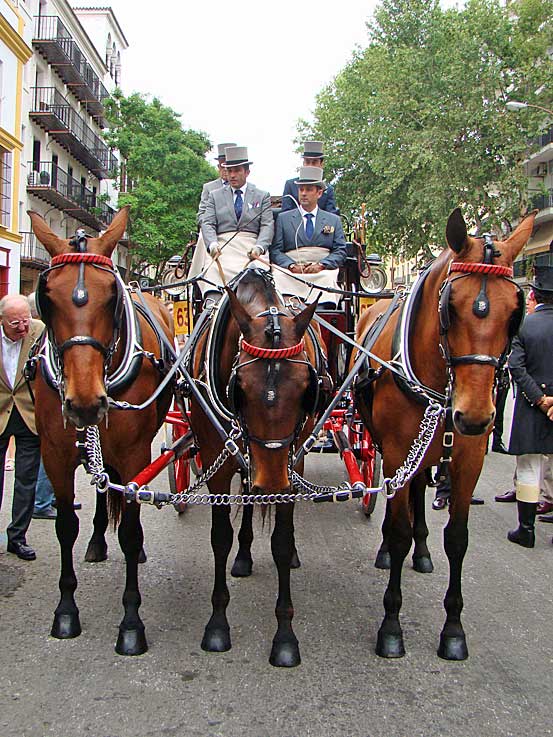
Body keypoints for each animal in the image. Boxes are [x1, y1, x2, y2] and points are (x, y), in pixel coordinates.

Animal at [27, 207, 174, 656]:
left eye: (111, 295)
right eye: (47, 296)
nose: (85, 402)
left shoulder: (134, 454)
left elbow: (130, 529)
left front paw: (131, 623)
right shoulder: (54, 455)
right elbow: (64, 527)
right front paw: (65, 612)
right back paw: (95, 541)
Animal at [188, 269, 326, 667]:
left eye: (306, 389)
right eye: (241, 388)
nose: (272, 484)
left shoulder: (290, 463)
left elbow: (281, 540)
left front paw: (285, 636)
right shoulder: (216, 464)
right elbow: (220, 539)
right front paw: (217, 624)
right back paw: (244, 554)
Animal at [354, 207, 534, 660]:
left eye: (515, 311)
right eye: (450, 306)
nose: (473, 416)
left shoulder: (468, 460)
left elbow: (457, 538)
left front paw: (453, 630)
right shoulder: (396, 452)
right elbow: (398, 529)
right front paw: (391, 626)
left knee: (420, 490)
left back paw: (422, 553)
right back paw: (389, 551)